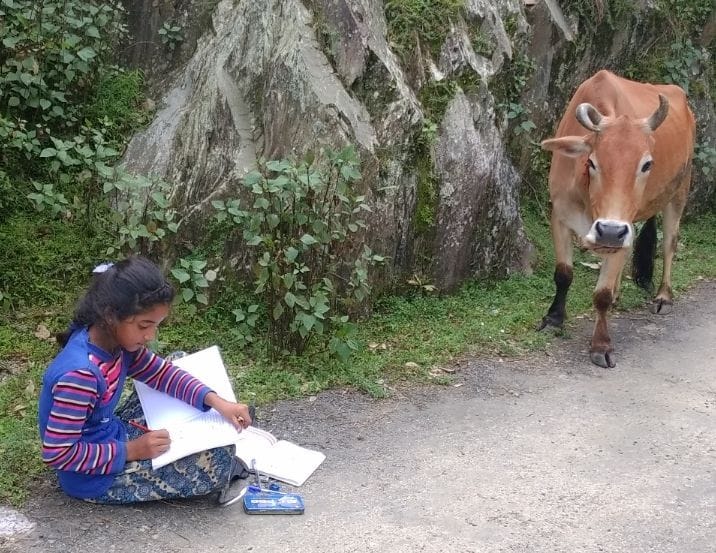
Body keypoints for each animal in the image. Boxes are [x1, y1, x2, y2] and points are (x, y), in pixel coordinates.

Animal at [539, 70, 695, 368]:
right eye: (591, 162)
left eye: (647, 164)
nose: (610, 231)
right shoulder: (560, 216)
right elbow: (563, 274)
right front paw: (553, 319)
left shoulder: (622, 228)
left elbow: (601, 294)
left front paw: (601, 345)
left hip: (679, 192)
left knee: (669, 244)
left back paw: (663, 297)